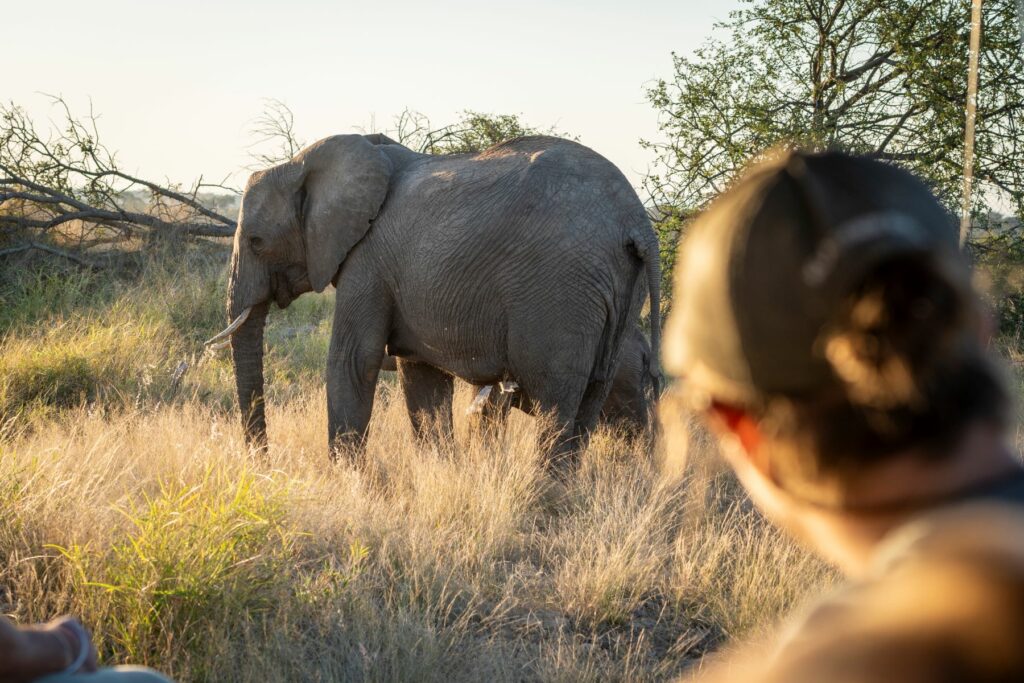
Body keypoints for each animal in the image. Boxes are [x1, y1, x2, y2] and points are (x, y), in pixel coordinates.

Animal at [209, 132, 660, 469]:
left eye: (256, 241)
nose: (266, 467)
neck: (300, 163)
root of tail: (638, 222)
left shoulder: (368, 261)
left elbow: (352, 361)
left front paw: (344, 480)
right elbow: (421, 377)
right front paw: (440, 469)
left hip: (561, 290)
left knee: (557, 398)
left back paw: (542, 499)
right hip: (617, 293)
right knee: (591, 396)